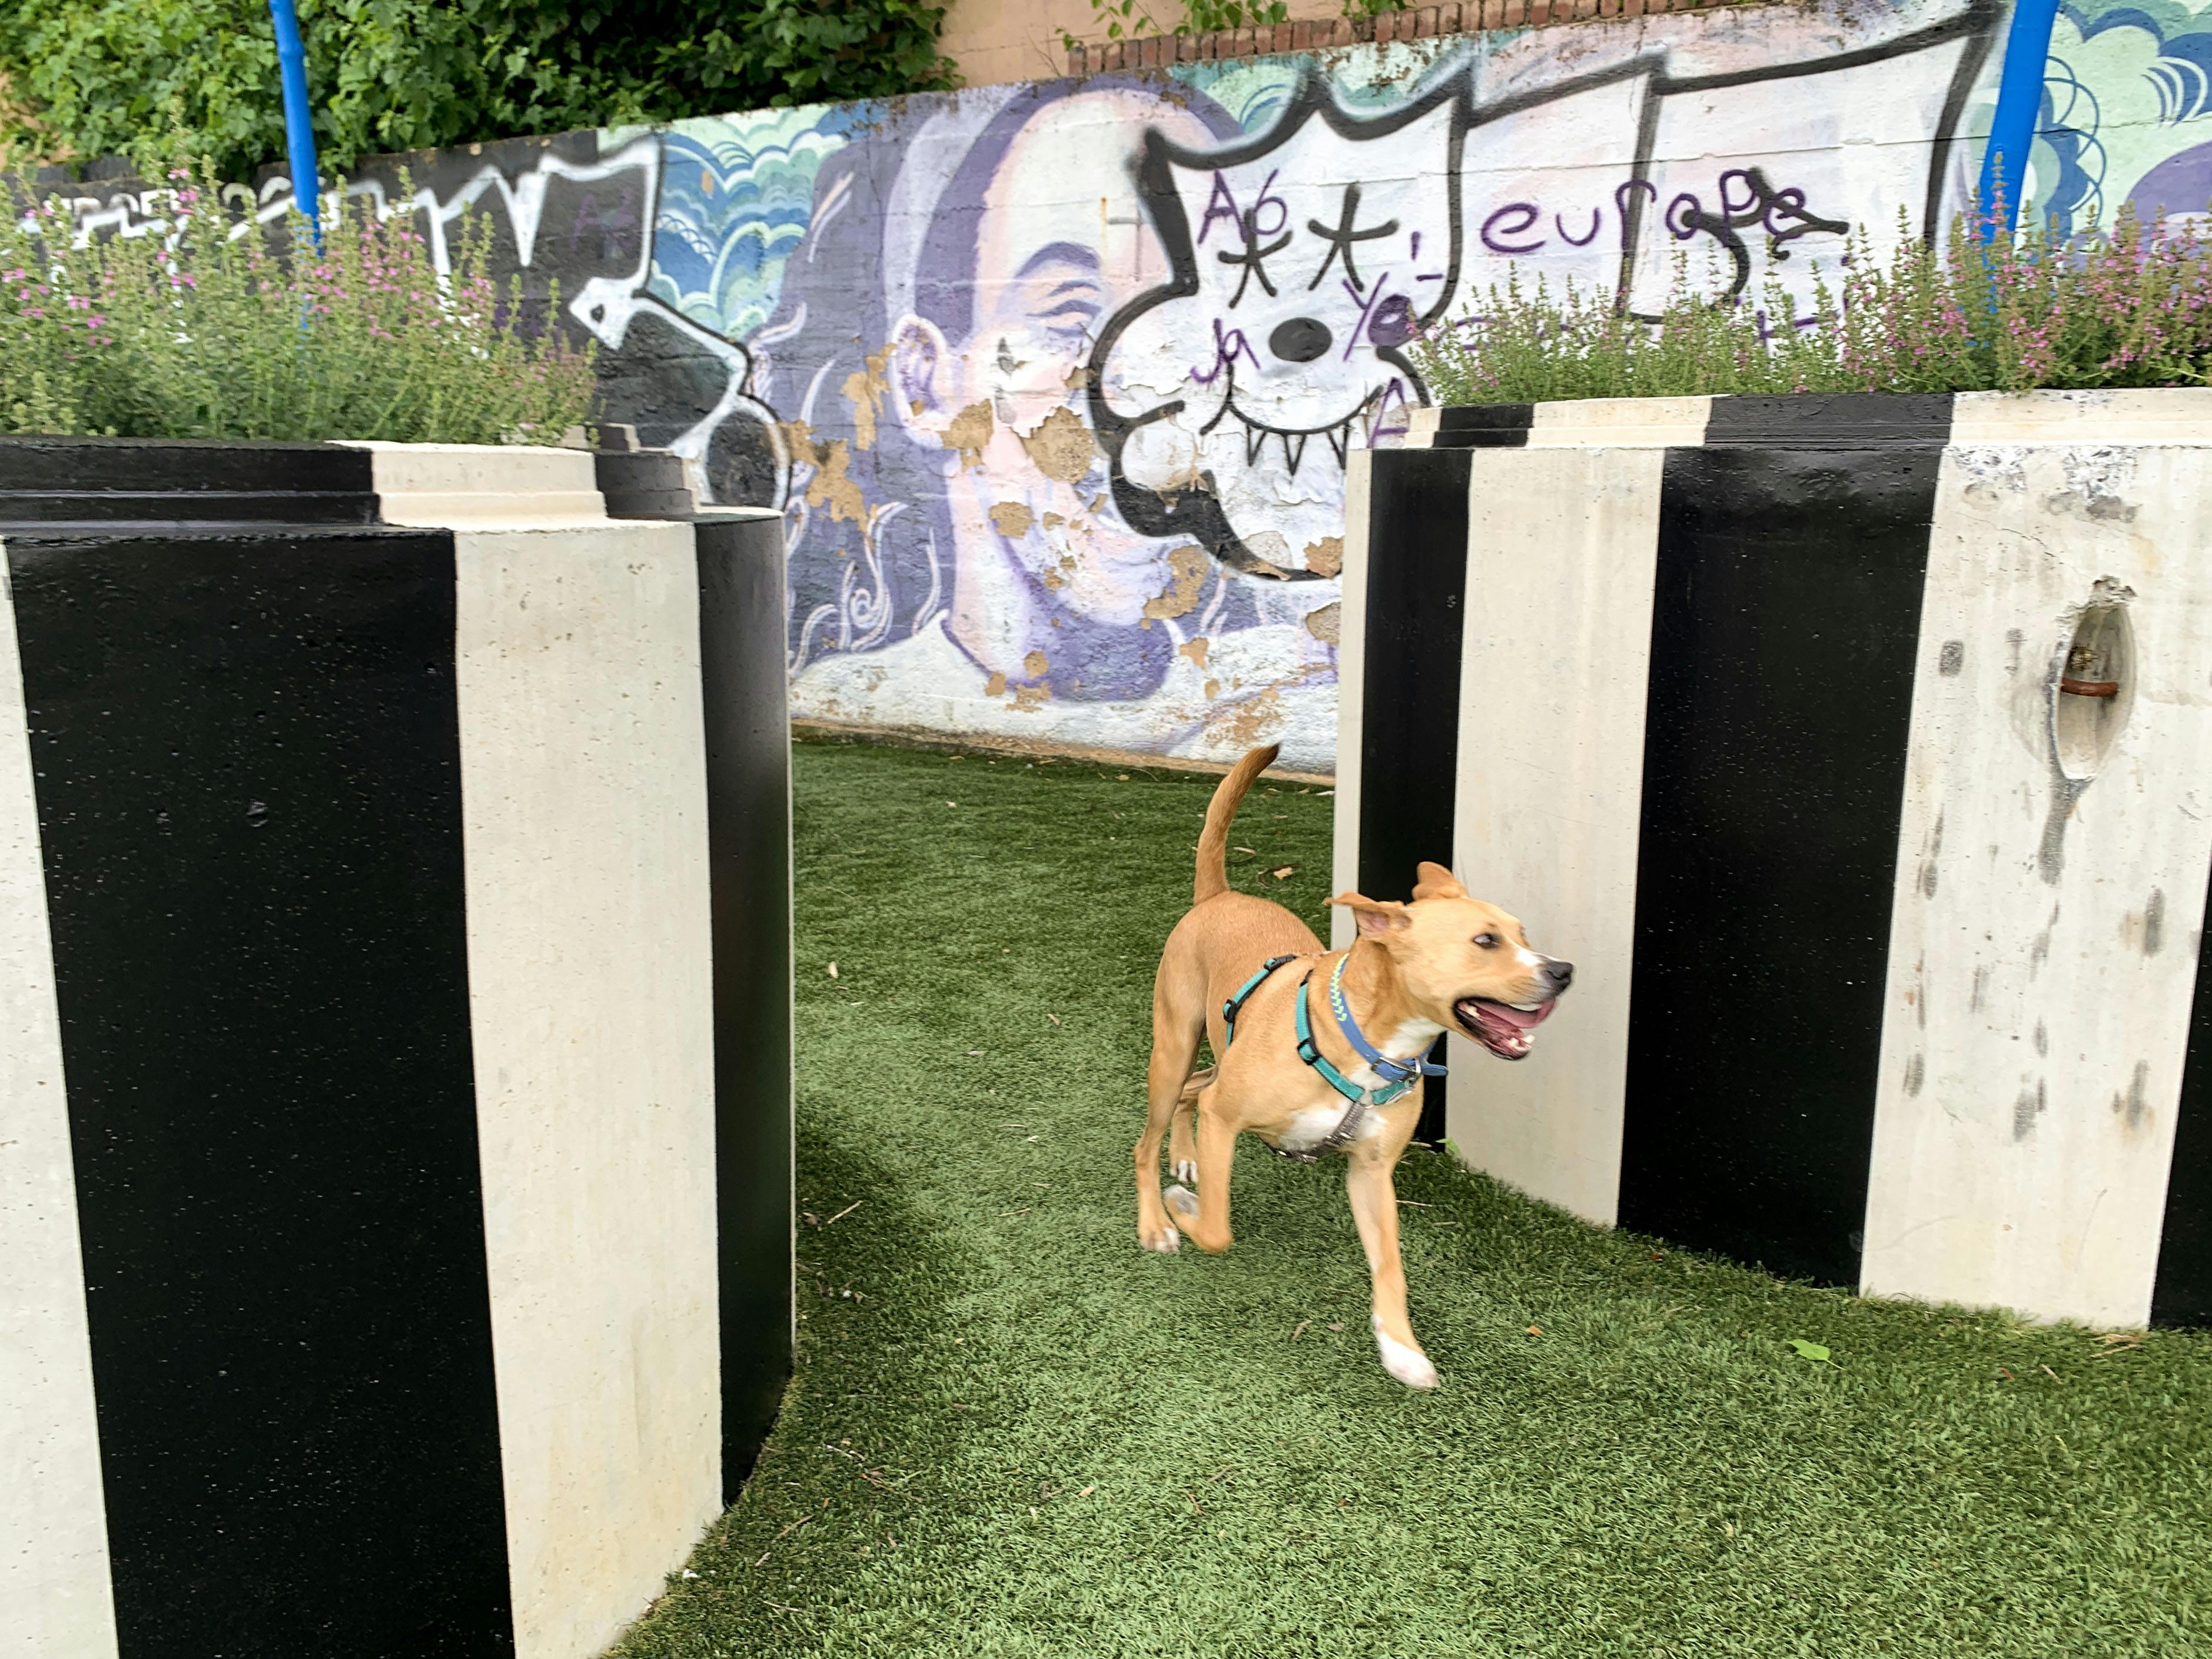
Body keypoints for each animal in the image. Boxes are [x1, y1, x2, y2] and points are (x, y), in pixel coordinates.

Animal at [1141, 743, 1575, 1389]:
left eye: (1522, 933)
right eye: (1485, 941)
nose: (1563, 970)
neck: (1365, 1043)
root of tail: (1220, 895)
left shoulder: (1371, 1171)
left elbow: (1390, 1264)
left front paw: (1401, 1348)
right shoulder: (1227, 1116)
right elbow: (1217, 1228)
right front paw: (1183, 1207)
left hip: (1210, 1059)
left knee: (1193, 1091)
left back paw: (1185, 1155)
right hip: (1173, 1047)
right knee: (1148, 1138)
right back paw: (1155, 1219)